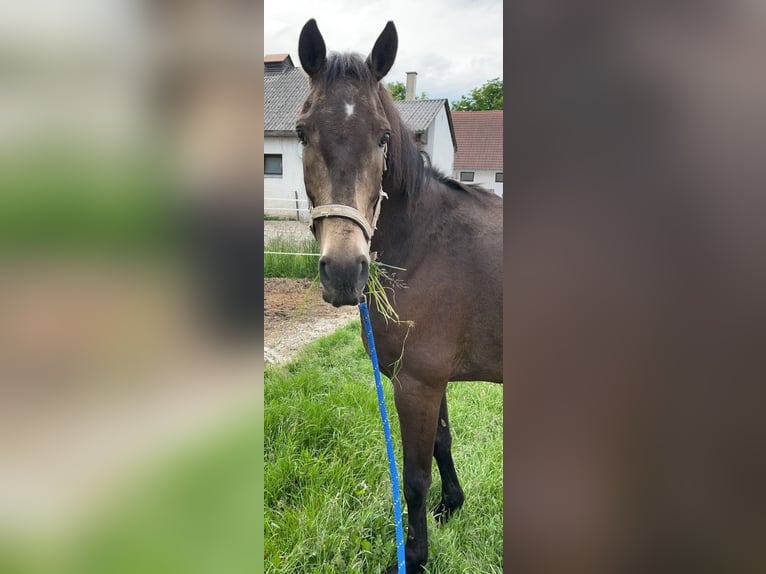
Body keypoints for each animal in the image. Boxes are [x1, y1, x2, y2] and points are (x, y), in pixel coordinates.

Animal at [296, 20, 504, 572]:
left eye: (383, 137)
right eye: (302, 132)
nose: (343, 272)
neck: (424, 245)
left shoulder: (417, 384)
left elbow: (413, 477)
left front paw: (415, 554)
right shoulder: (433, 381)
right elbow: (443, 444)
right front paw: (450, 507)